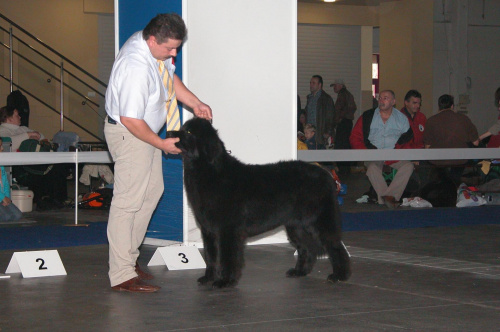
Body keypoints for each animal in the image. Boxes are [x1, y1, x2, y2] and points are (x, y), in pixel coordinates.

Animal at [168, 117, 352, 288]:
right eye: (182, 128)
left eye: (189, 132)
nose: (169, 133)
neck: (209, 170)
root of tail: (326, 174)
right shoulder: (208, 231)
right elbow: (210, 256)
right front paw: (208, 278)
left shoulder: (228, 230)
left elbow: (227, 258)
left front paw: (224, 281)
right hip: (296, 226)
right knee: (307, 248)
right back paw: (299, 271)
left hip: (320, 222)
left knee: (335, 246)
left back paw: (339, 275)